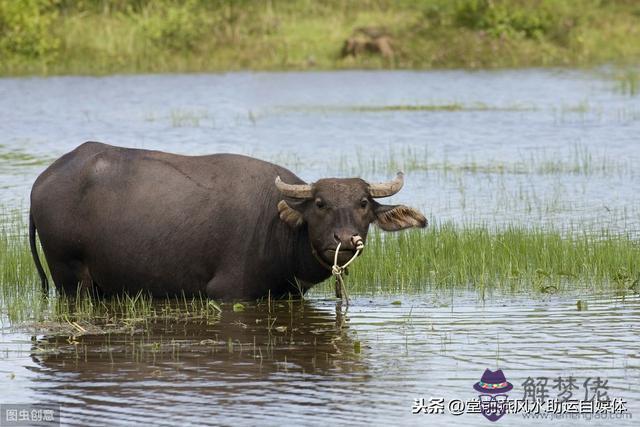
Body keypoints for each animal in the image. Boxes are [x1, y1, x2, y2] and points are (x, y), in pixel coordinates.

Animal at [31, 142, 430, 300]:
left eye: (363, 203)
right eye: (320, 203)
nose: (345, 240)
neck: (279, 231)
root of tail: (42, 182)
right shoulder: (229, 293)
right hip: (70, 278)